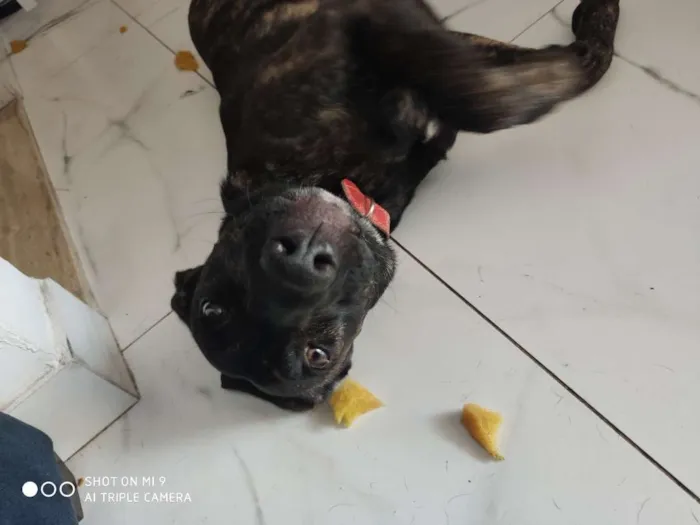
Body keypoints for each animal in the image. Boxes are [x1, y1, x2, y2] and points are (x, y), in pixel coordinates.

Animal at [172, 0, 620, 410]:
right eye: (317, 355)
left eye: (213, 307)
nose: (298, 263)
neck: (351, 177)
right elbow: (490, 97)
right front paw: (562, 66)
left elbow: (474, 88)